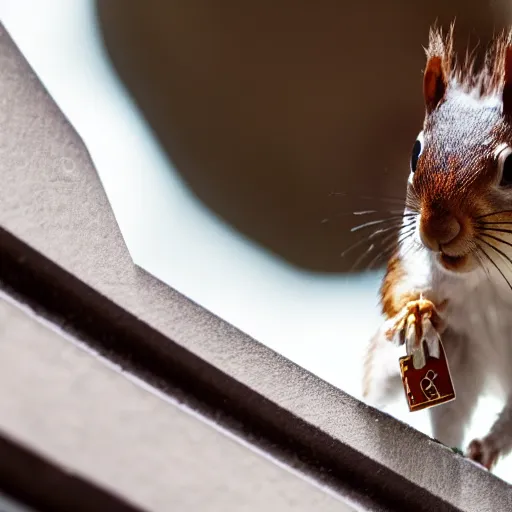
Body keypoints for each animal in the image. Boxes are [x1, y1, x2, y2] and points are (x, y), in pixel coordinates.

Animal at [362, 24, 512, 470]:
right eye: (416, 152)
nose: (436, 229)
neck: (492, 280)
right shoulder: (414, 257)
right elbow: (396, 289)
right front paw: (411, 313)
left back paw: (483, 450)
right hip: (460, 358)